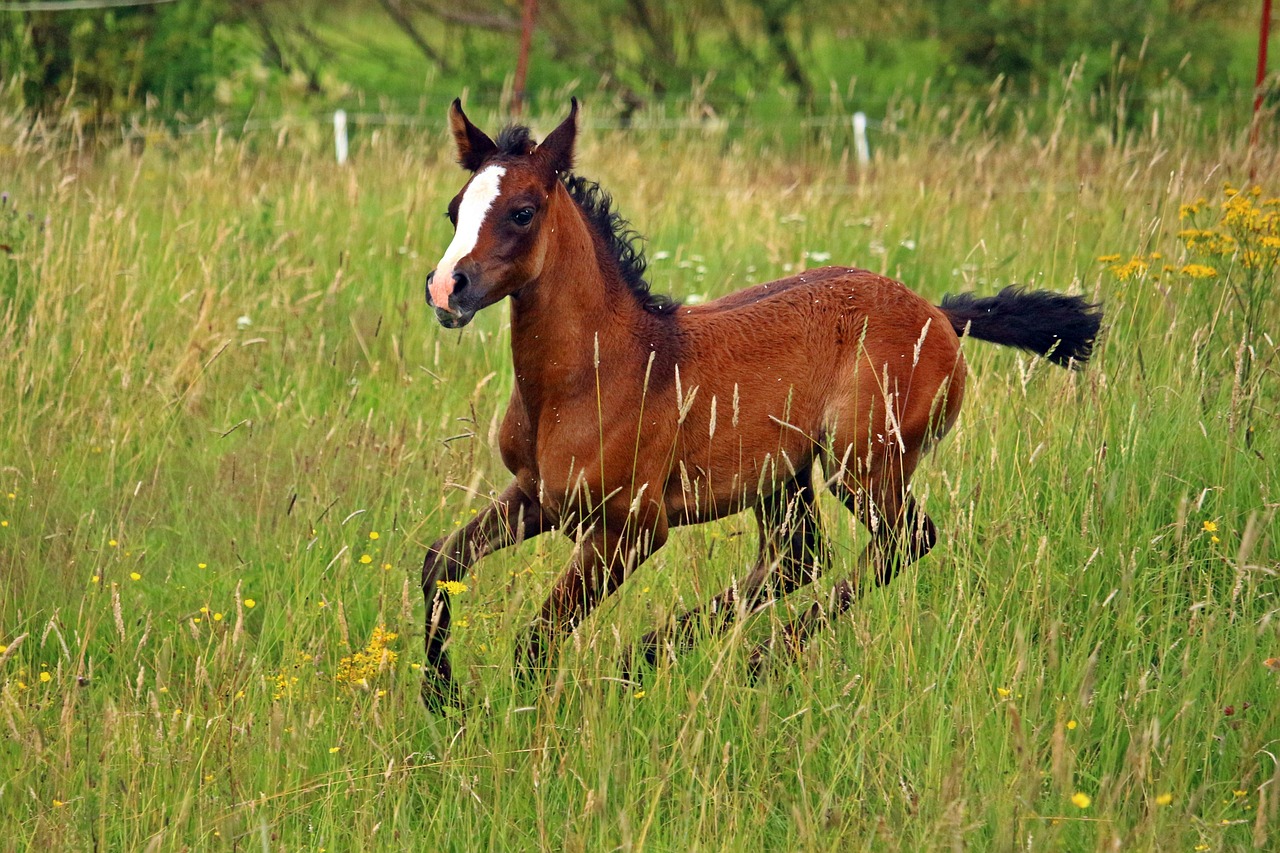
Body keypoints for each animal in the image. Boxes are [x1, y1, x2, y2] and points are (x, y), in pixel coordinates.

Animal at [419, 97, 1100, 712]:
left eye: (522, 212)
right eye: (454, 210)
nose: (446, 289)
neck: (596, 373)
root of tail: (940, 313)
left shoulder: (630, 531)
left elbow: (535, 641)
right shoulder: (534, 495)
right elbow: (440, 561)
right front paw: (443, 697)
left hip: (862, 465)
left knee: (903, 542)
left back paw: (750, 656)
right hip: (784, 478)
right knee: (799, 560)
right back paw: (658, 655)